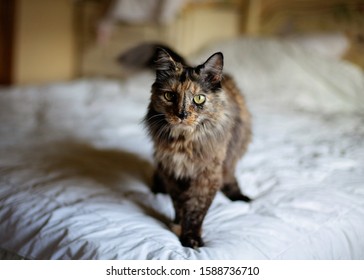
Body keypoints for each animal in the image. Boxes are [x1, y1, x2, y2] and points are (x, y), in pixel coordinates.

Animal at [121, 43, 252, 247]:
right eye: (169, 96)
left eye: (199, 98)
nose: (181, 114)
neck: (184, 142)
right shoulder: (174, 171)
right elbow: (179, 204)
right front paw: (178, 224)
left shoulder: (207, 175)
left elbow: (196, 209)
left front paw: (191, 238)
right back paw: (158, 188)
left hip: (232, 152)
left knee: (229, 176)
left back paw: (239, 197)